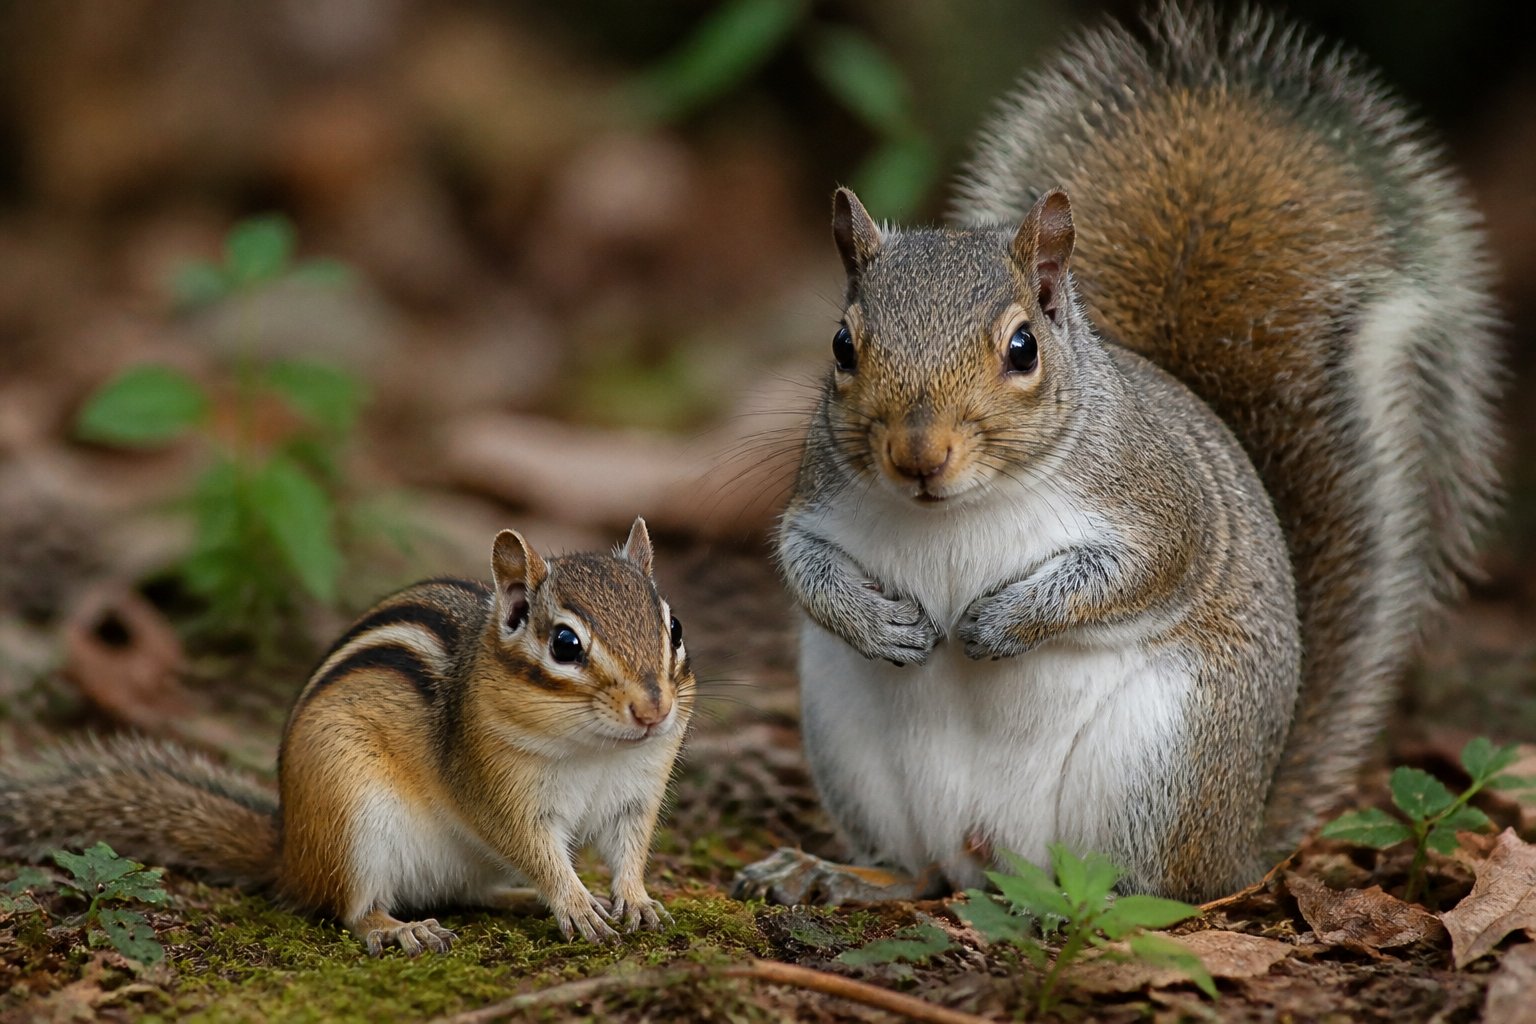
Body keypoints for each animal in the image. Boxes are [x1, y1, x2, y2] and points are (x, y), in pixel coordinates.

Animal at [1, 518, 695, 955]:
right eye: (565, 644)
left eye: (675, 627)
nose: (653, 710)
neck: (594, 752)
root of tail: (291, 852)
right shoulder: (498, 787)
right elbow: (536, 848)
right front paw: (573, 901)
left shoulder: (637, 793)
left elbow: (629, 849)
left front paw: (635, 900)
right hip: (352, 814)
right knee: (350, 909)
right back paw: (399, 929)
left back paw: (517, 900)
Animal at [734, 5, 1500, 904]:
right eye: (842, 346)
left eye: (1023, 348)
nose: (918, 455)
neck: (956, 510)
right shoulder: (820, 499)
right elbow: (801, 561)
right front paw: (879, 623)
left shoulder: (1160, 503)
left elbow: (1134, 573)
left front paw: (1003, 621)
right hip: (849, 739)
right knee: (918, 871)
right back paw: (838, 875)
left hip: (1161, 762)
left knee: (1150, 894)